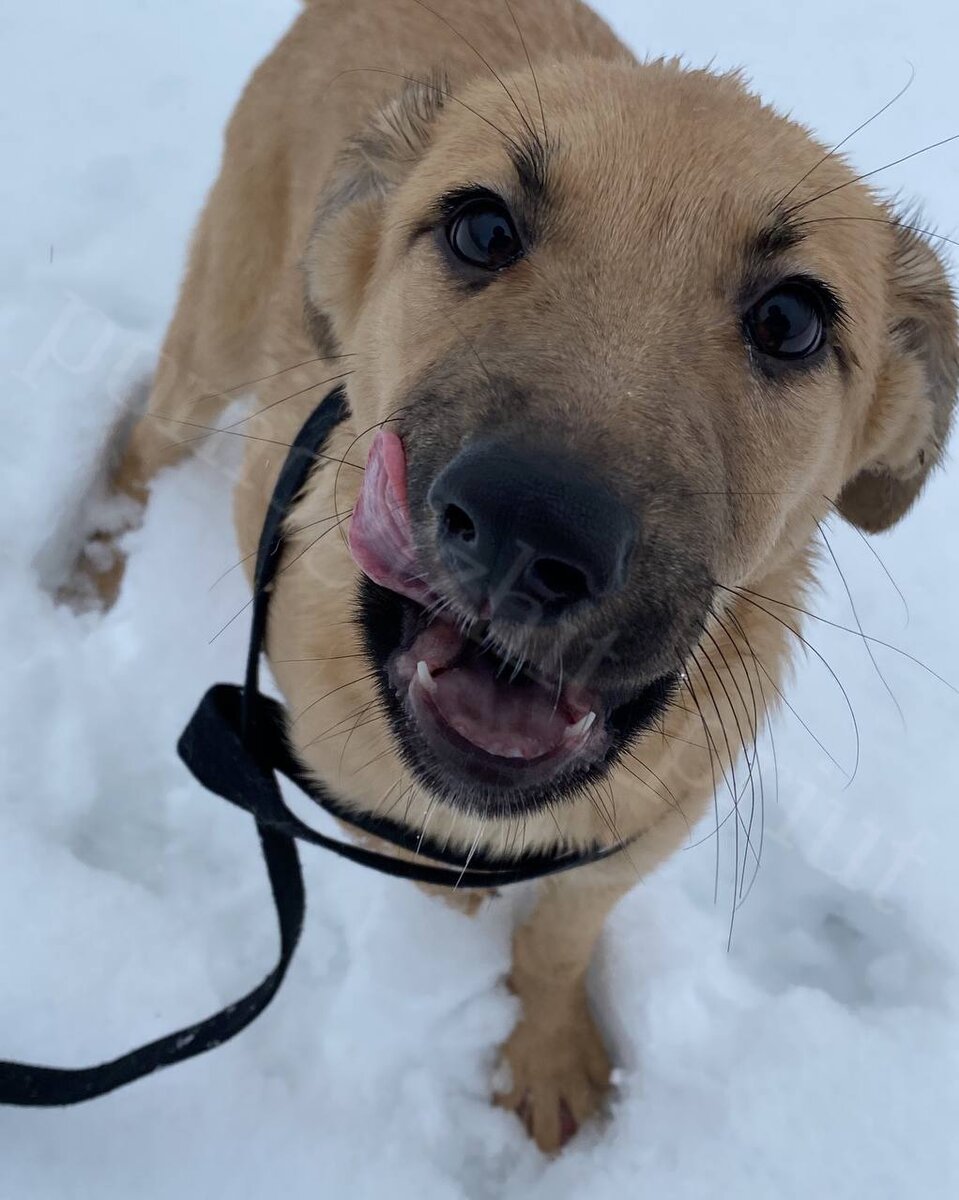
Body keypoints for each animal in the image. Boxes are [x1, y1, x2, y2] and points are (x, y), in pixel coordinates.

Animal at [91, 0, 959, 1152]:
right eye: (480, 230)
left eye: (790, 321)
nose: (523, 530)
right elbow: (436, 876)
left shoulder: (638, 837)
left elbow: (555, 938)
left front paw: (545, 1050)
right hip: (218, 328)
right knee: (138, 444)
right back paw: (96, 565)